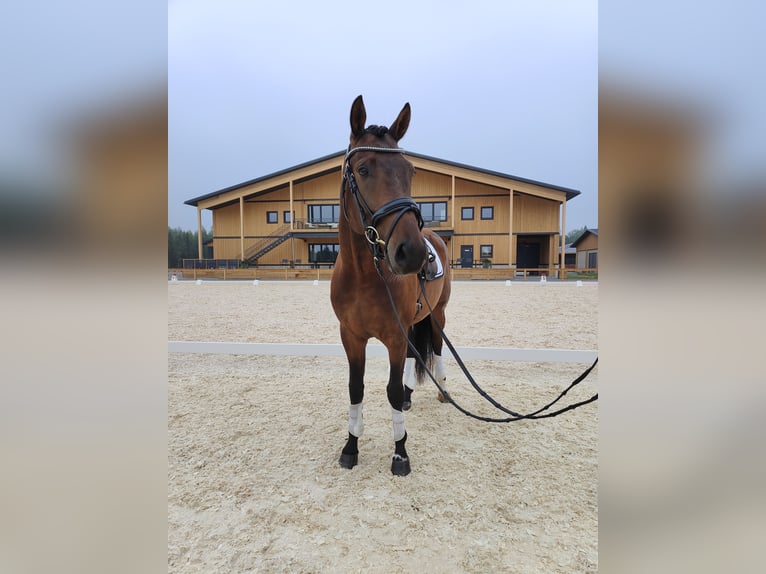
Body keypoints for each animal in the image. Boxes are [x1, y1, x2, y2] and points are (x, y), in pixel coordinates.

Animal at [328, 98, 450, 476]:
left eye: (410, 171)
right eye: (364, 169)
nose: (411, 253)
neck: (365, 278)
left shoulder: (395, 336)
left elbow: (392, 390)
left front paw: (400, 454)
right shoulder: (351, 336)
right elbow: (356, 389)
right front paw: (350, 447)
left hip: (437, 315)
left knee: (436, 349)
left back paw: (443, 391)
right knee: (416, 354)